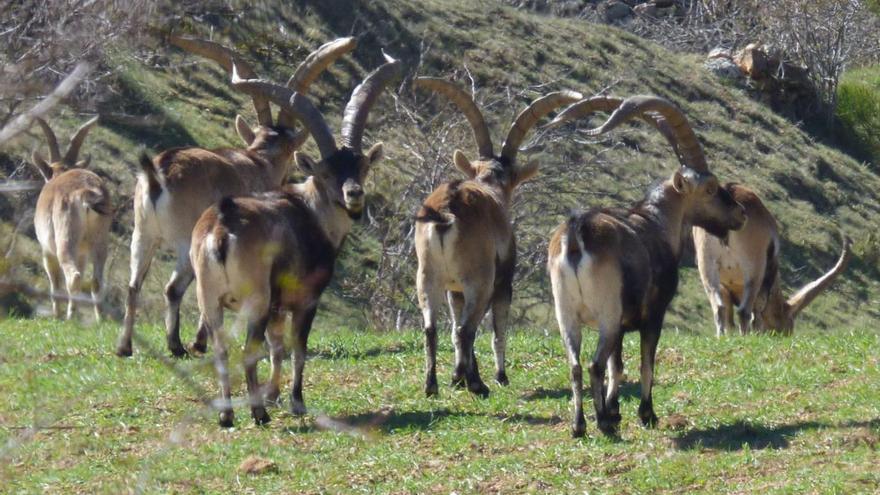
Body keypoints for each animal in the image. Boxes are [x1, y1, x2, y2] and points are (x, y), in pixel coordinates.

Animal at [31, 116, 111, 322]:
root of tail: (86, 193)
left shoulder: (47, 251)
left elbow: (54, 282)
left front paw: (56, 315)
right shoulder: (82, 253)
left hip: (65, 240)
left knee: (73, 276)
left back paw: (69, 317)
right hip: (100, 241)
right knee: (96, 281)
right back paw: (100, 320)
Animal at [192, 54, 402, 426]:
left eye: (361, 166)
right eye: (326, 171)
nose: (354, 195)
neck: (311, 212)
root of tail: (220, 230)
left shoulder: (277, 305)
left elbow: (277, 347)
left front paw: (274, 395)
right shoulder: (304, 299)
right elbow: (297, 348)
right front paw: (295, 402)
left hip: (210, 299)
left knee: (221, 349)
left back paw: (228, 416)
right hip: (255, 300)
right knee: (248, 349)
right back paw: (258, 414)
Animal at [548, 95, 744, 436]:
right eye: (710, 188)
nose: (741, 213)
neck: (655, 222)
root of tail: (576, 233)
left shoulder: (620, 325)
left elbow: (618, 366)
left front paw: (615, 410)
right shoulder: (652, 315)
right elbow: (644, 363)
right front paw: (646, 414)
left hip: (567, 314)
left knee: (575, 365)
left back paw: (579, 425)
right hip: (607, 314)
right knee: (593, 365)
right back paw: (603, 425)